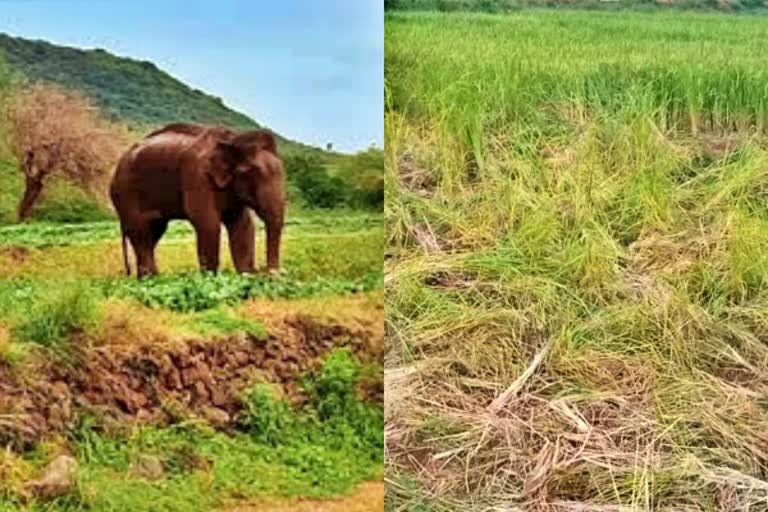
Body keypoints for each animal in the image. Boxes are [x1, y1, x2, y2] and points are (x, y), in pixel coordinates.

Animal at [109, 122, 286, 278]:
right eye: (250, 173)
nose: (267, 273)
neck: (232, 140)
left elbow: (242, 225)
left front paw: (246, 277)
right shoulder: (197, 176)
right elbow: (208, 223)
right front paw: (211, 280)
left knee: (154, 231)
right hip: (126, 194)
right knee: (141, 233)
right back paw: (152, 281)